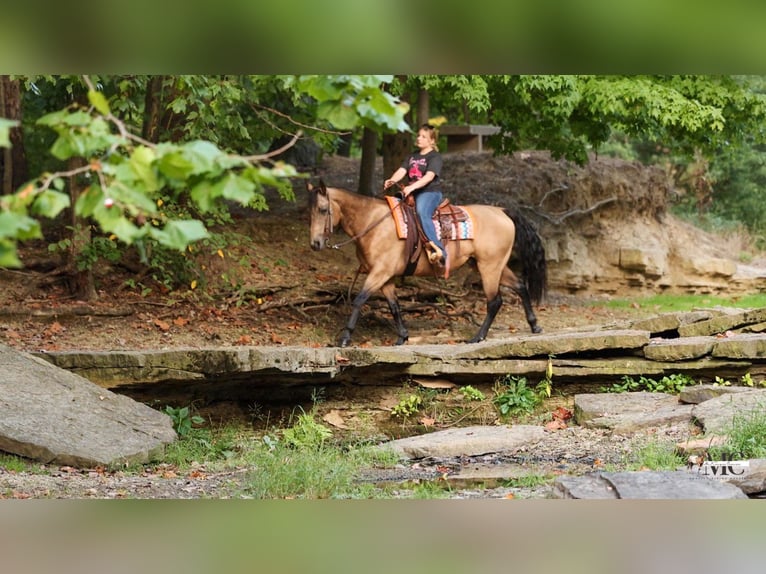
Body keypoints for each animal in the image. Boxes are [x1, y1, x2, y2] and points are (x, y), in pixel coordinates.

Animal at [307, 180, 547, 347]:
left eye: (322, 210)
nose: (315, 243)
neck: (373, 223)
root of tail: (502, 211)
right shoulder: (385, 277)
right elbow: (394, 306)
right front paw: (402, 336)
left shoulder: (379, 272)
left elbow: (359, 300)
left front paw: (345, 338)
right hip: (492, 265)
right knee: (520, 286)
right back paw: (534, 325)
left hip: (489, 267)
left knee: (494, 301)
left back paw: (477, 336)